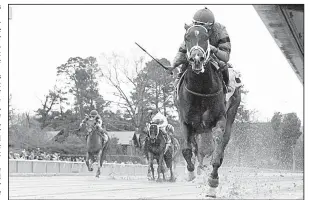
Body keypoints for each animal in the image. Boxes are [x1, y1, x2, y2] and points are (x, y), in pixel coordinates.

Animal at [176, 24, 241, 188]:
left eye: (206, 38)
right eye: (187, 37)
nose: (196, 59)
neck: (201, 90)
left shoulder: (219, 119)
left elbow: (217, 146)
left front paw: (213, 178)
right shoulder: (185, 121)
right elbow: (186, 149)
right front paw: (190, 173)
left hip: (232, 112)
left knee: (223, 141)